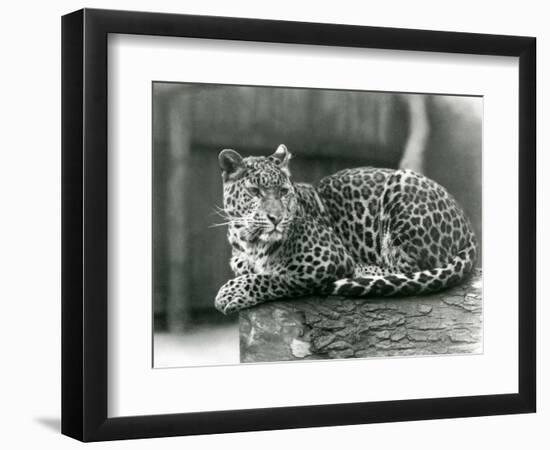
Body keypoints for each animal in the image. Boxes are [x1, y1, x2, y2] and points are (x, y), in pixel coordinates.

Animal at [216, 143, 478, 312]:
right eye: (254, 191)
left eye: (283, 191)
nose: (276, 218)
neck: (249, 240)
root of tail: (468, 225)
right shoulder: (238, 259)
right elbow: (252, 269)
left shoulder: (327, 260)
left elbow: (274, 277)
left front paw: (231, 292)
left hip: (401, 185)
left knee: (407, 270)